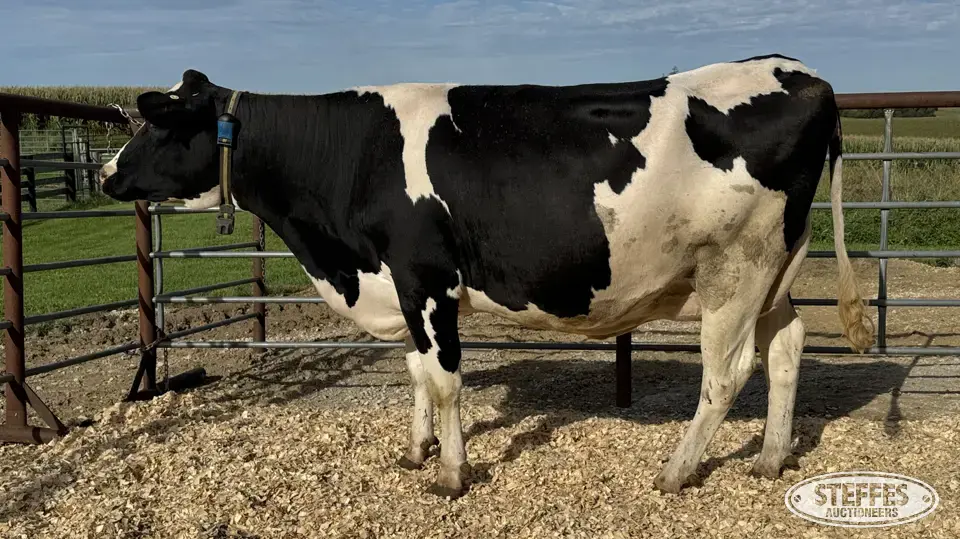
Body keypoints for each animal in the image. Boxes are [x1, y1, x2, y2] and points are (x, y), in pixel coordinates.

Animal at [99, 54, 874, 498]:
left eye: (159, 125)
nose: (106, 173)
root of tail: (797, 69)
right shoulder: (401, 282)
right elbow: (416, 372)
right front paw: (418, 451)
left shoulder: (426, 276)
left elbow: (442, 379)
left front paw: (452, 473)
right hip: (773, 271)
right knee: (787, 347)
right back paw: (769, 458)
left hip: (734, 269)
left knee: (726, 372)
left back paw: (676, 470)